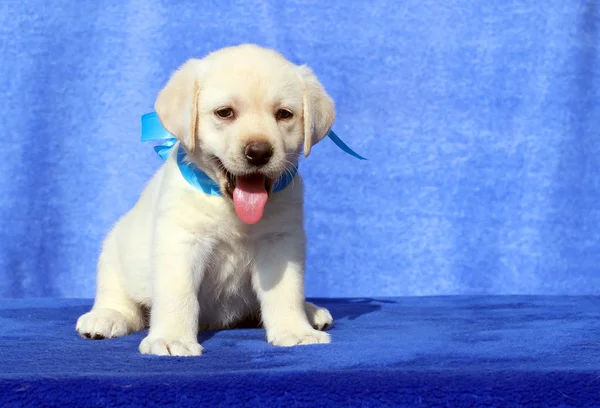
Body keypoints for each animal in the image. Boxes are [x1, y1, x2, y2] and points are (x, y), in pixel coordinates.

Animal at [75, 44, 336, 356]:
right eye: (225, 113)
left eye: (284, 114)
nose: (259, 152)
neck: (229, 206)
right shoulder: (181, 241)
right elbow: (178, 294)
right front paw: (172, 338)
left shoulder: (281, 242)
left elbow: (285, 291)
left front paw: (295, 331)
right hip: (114, 251)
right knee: (122, 300)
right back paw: (106, 317)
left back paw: (310, 311)